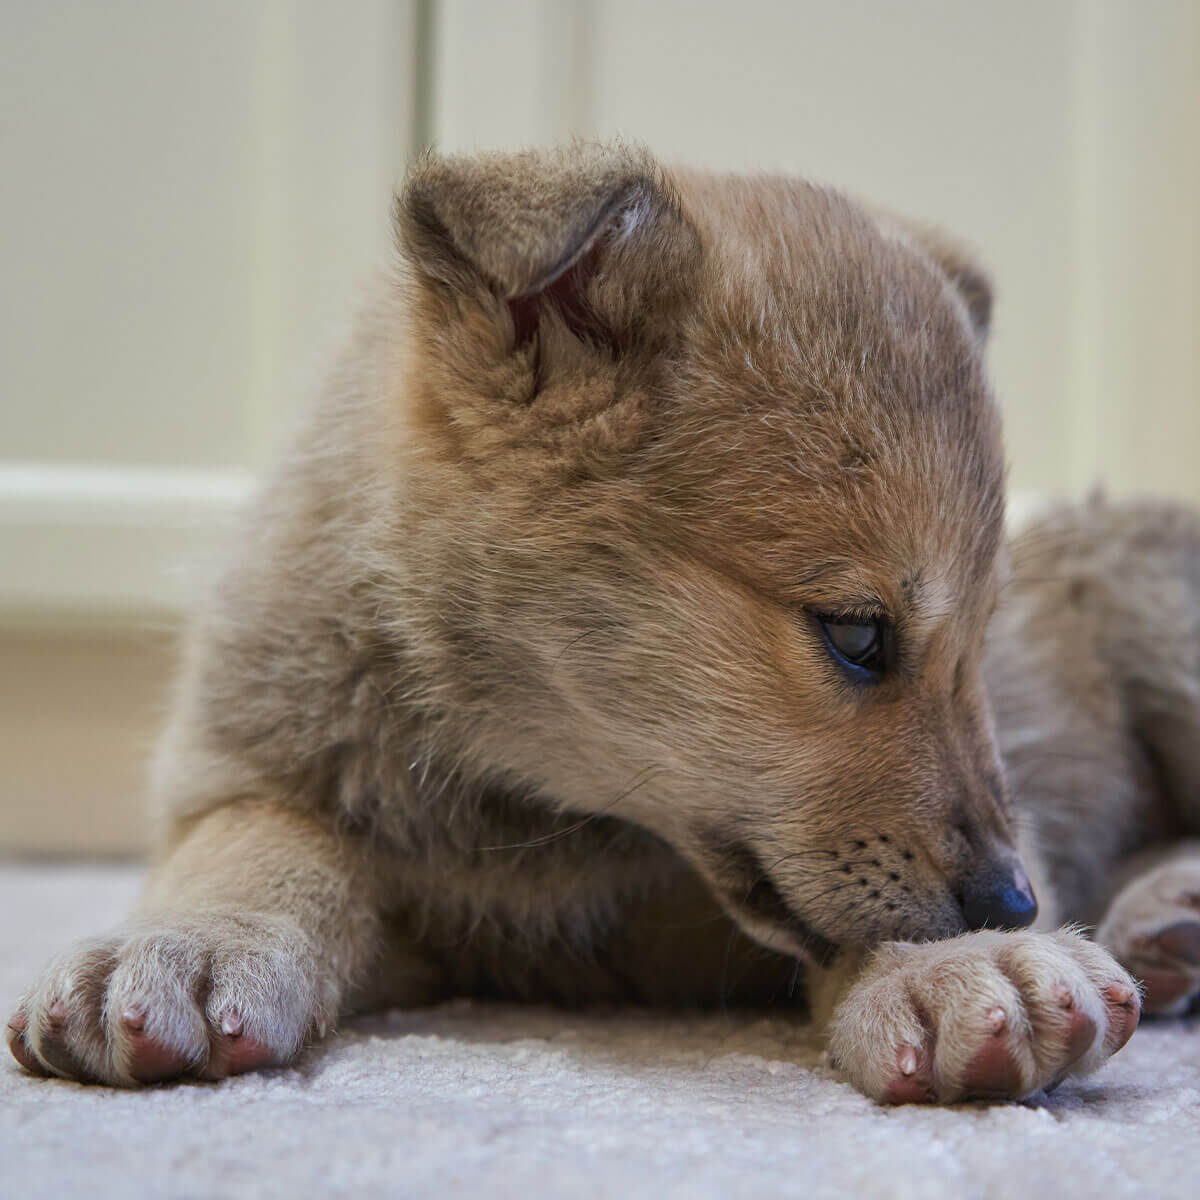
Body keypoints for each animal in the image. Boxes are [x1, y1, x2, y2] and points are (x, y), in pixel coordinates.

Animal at [11, 142, 1190, 1104]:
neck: (551, 809)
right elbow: (261, 849)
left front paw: (963, 967)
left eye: (985, 636)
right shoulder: (254, 780)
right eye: (858, 634)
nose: (1013, 900)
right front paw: (178, 946)